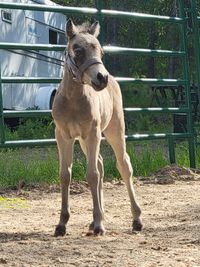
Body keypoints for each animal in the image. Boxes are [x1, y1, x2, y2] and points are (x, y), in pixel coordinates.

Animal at [51, 19, 142, 237]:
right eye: (77, 50)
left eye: (101, 52)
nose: (101, 78)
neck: (73, 100)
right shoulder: (63, 136)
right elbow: (65, 174)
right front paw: (62, 224)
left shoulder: (92, 133)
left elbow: (91, 175)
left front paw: (100, 224)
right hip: (84, 140)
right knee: (100, 163)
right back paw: (95, 220)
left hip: (113, 130)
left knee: (123, 165)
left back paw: (136, 219)